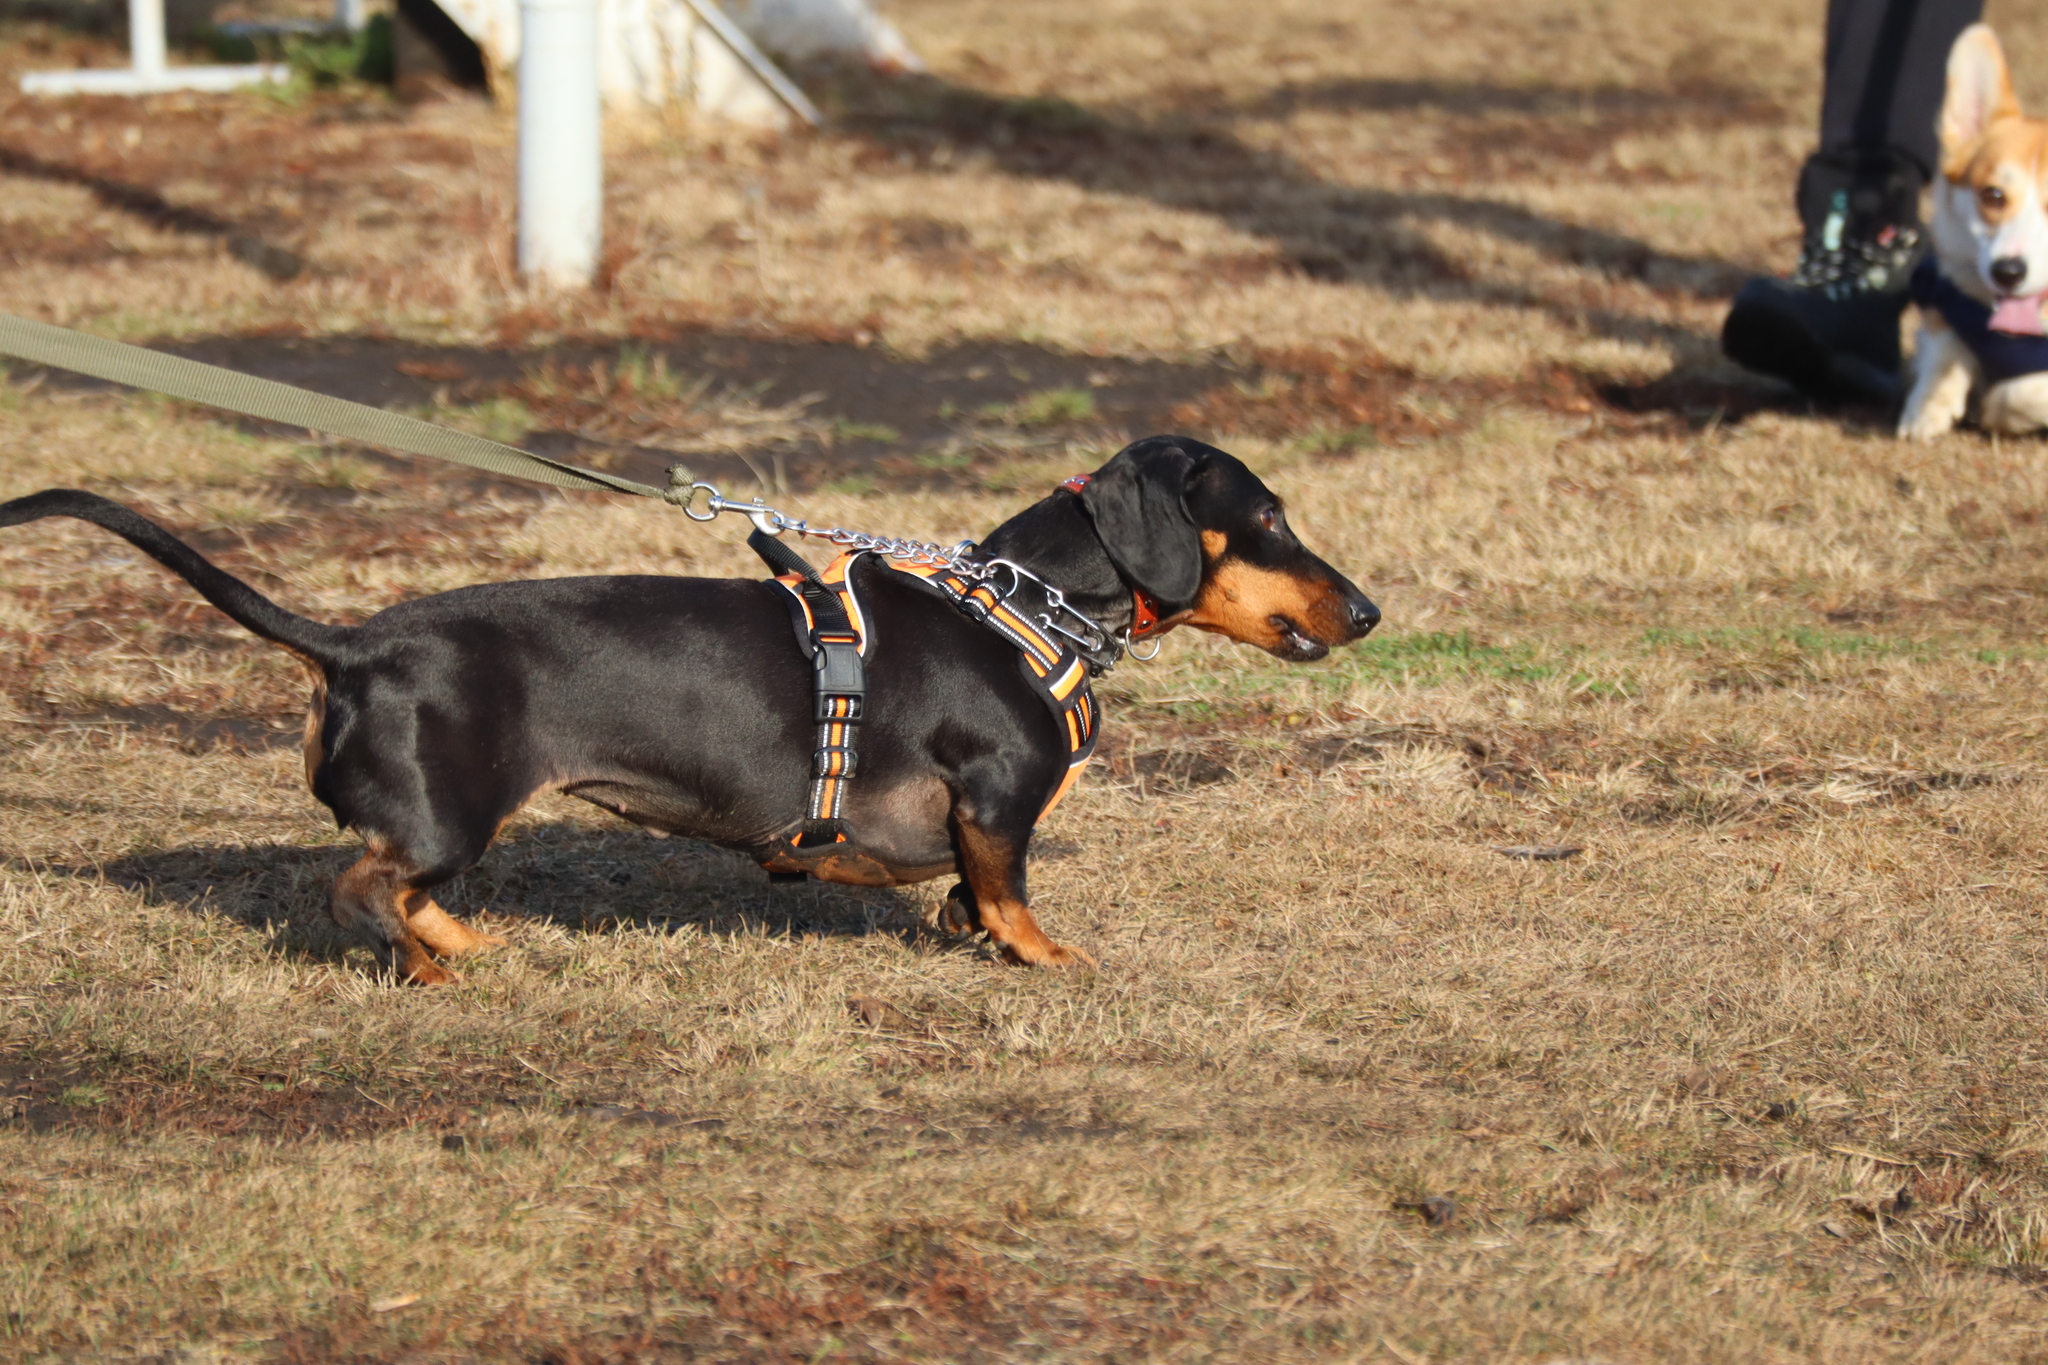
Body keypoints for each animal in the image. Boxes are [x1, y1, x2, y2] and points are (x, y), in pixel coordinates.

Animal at [1892, 24, 2048, 439]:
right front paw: (1927, 408)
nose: (2008, 272)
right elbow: (1944, 349)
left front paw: (1996, 406)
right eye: (1993, 195)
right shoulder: (1942, 296)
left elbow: (2024, 390)